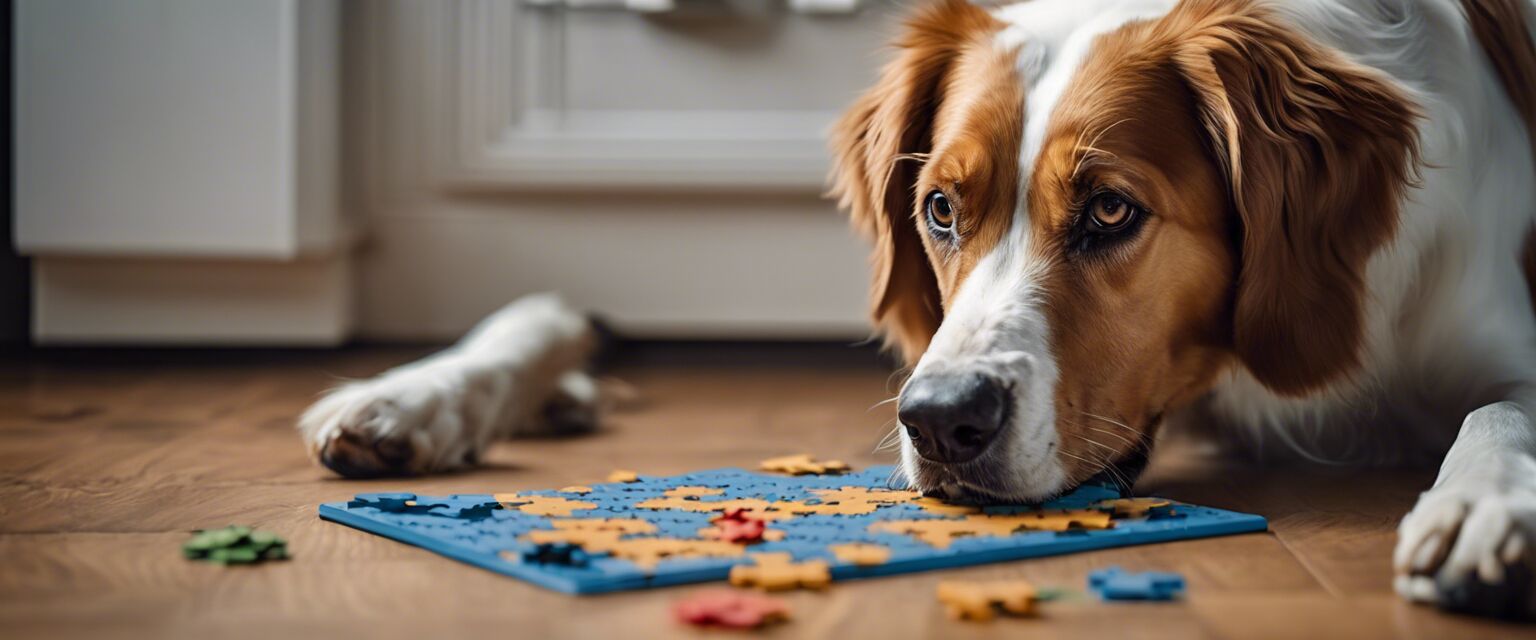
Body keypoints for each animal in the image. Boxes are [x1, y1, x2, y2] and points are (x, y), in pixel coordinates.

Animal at [296, 0, 1536, 620]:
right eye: (940, 208)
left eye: (1112, 210)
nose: (941, 423)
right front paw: (414, 393)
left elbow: (1502, 411)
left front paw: (1484, 509)